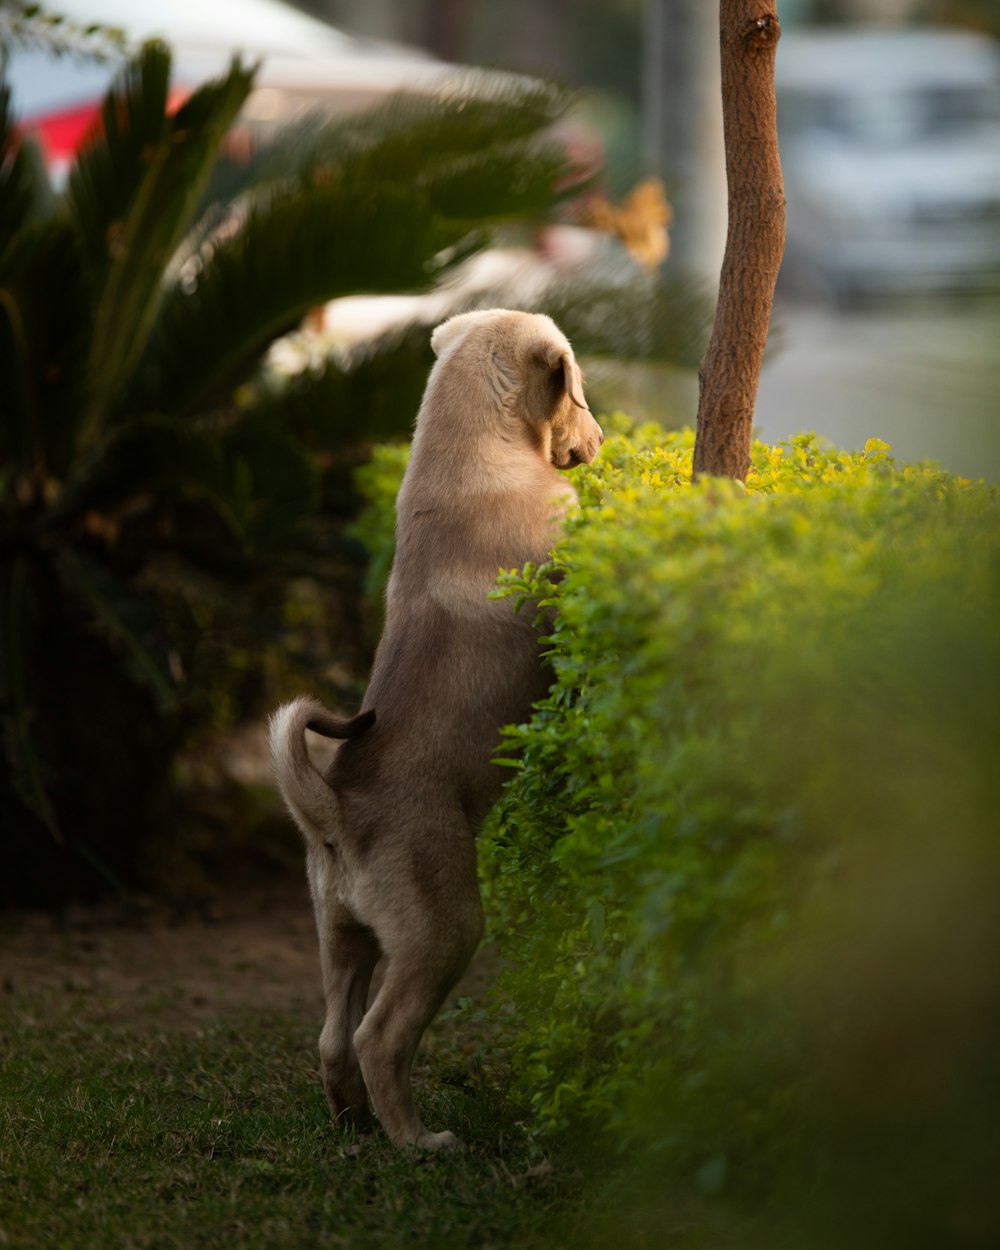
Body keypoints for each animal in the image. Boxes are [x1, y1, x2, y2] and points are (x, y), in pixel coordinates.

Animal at [270, 307, 605, 1145]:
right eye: (580, 394)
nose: (602, 441)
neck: (470, 450)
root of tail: (336, 813)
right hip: (445, 929)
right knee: (378, 1035)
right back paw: (419, 1141)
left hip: (340, 933)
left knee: (332, 1036)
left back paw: (357, 1127)